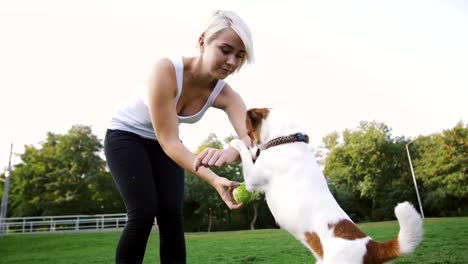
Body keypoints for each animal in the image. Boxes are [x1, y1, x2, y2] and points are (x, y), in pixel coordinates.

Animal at [230, 108, 424, 264]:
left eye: (248, 133)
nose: (255, 153)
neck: (288, 140)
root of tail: (372, 247)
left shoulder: (252, 179)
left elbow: (245, 159)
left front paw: (236, 143)